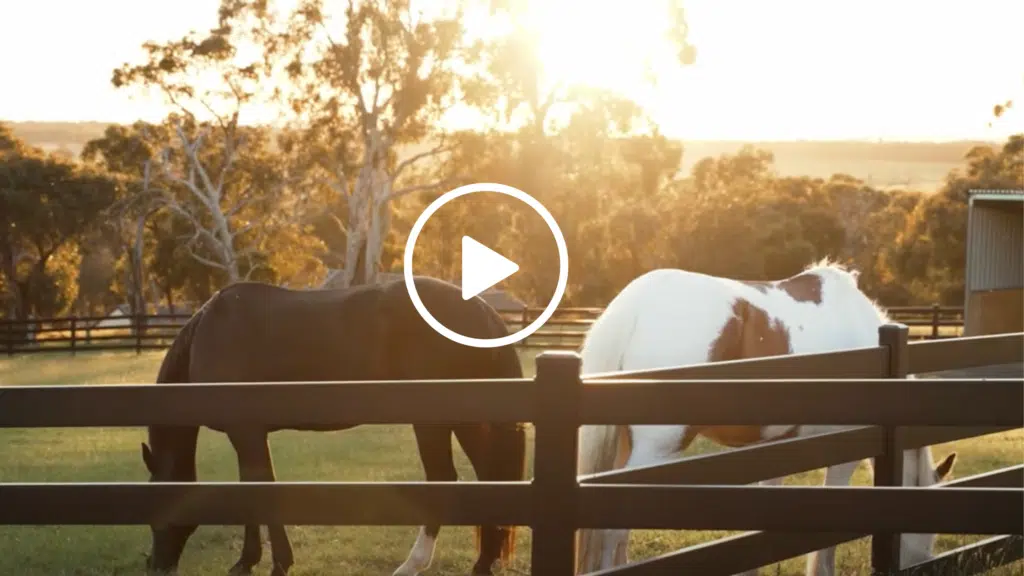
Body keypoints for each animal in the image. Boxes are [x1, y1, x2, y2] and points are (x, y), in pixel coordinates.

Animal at [141, 275, 527, 576]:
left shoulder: (246, 432)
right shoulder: (248, 435)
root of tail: (481, 309)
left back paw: (413, 564)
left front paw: (273, 562)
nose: (156, 564)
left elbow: (261, 489)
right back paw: (482, 564)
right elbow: (251, 489)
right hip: (466, 420)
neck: (208, 336)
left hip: (436, 420)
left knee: (443, 478)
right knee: (488, 478)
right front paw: (249, 561)